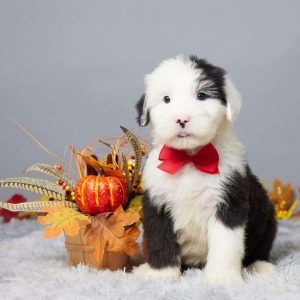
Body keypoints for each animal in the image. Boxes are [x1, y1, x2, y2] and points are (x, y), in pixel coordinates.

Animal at [133, 55, 276, 284]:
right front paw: (161, 275)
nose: (182, 119)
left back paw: (260, 267)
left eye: (201, 95)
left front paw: (222, 277)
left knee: (259, 249)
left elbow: (226, 244)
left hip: (266, 216)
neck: (190, 158)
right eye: (166, 99)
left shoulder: (228, 200)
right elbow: (160, 240)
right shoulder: (158, 202)